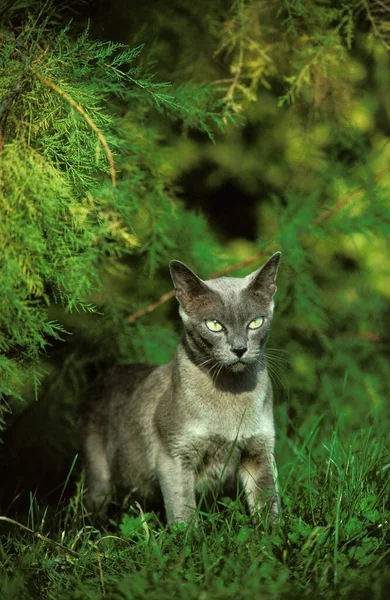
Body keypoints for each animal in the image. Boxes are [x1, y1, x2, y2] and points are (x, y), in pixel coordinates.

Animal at [80, 251, 282, 524]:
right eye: (214, 325)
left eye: (256, 322)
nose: (240, 349)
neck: (230, 392)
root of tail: (106, 373)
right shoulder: (174, 457)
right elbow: (183, 513)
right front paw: (189, 535)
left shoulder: (260, 452)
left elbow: (268, 505)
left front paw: (274, 533)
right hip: (98, 473)